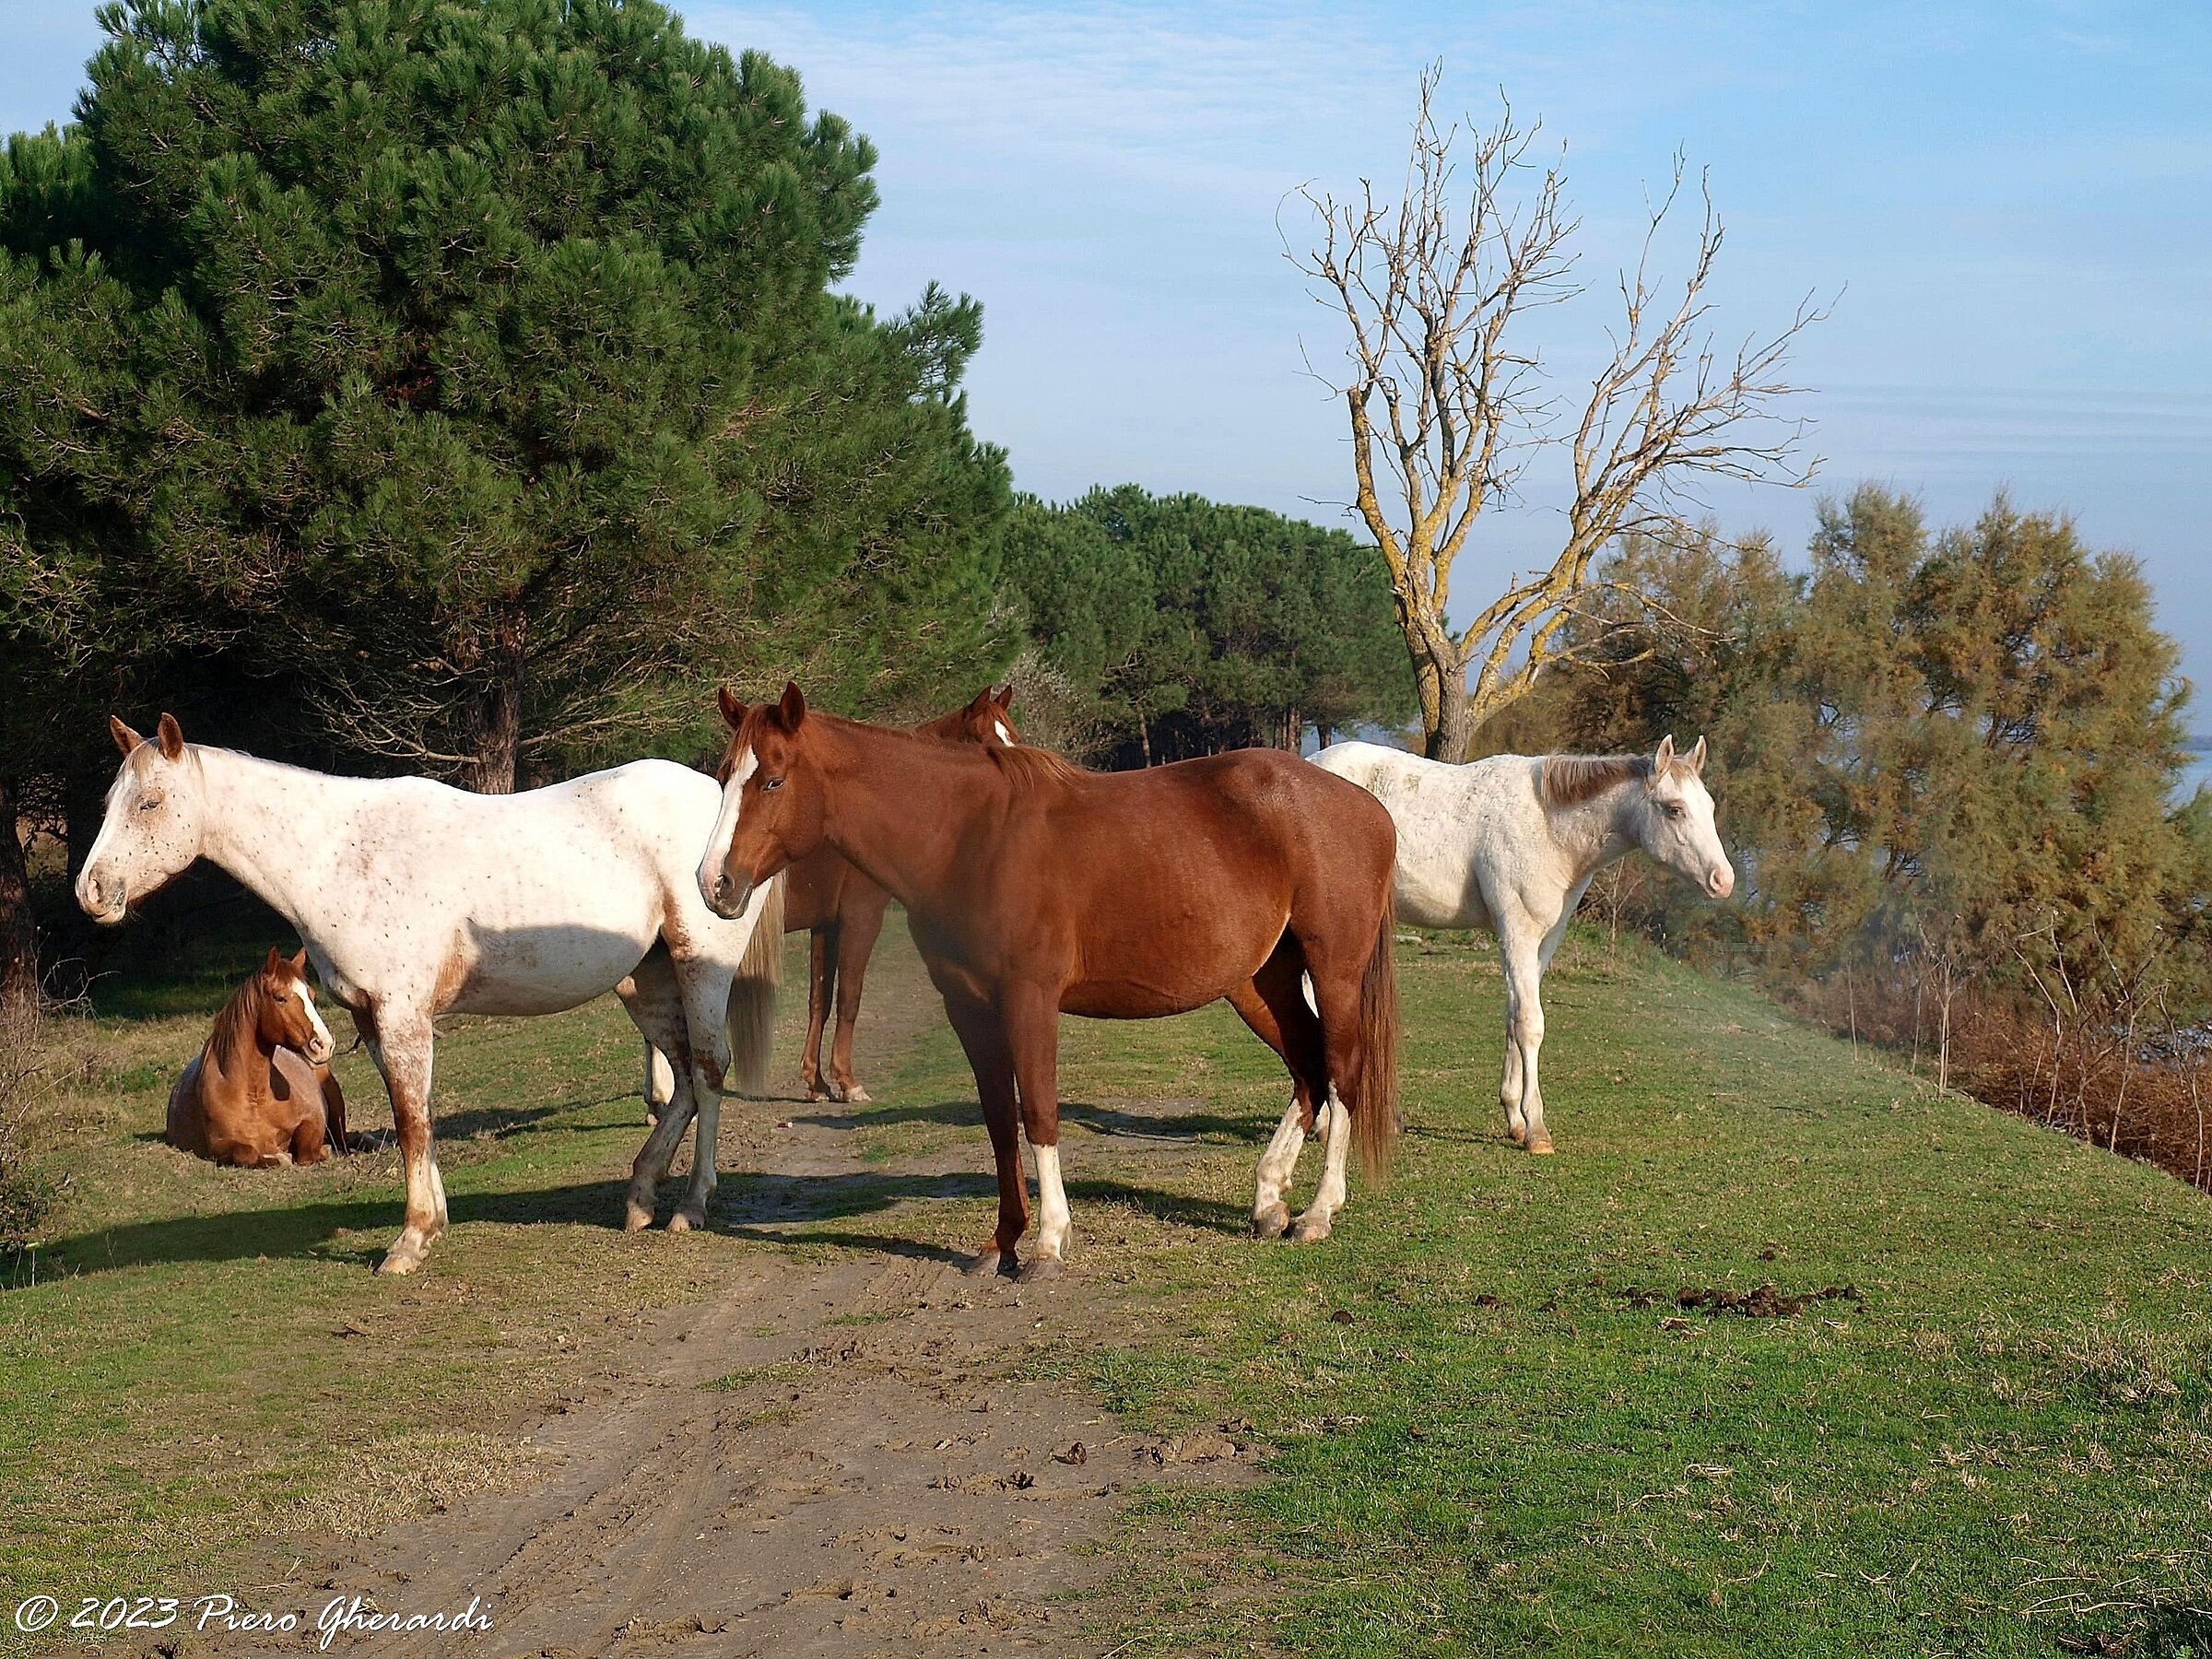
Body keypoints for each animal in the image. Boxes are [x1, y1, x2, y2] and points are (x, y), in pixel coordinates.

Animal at [168, 946, 349, 1168]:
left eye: (312, 996)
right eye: (280, 997)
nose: (324, 1044)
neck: (255, 1097)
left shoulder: (312, 1118)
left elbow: (307, 1151)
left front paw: (323, 1150)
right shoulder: (218, 1146)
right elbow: (246, 1153)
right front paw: (279, 1157)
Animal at [697, 683, 1401, 1280]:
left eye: (773, 779)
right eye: (723, 777)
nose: (715, 884)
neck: (967, 839)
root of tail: (1365, 806)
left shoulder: (1028, 1001)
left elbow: (1038, 1112)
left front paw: (1047, 1243)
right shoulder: (969, 1008)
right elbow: (998, 1120)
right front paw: (1000, 1242)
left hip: (1332, 972)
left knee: (1341, 1070)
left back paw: (1318, 1212)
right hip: (1260, 981)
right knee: (1307, 1066)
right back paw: (1268, 1200)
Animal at [1311, 735, 1734, 1154]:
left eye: (1710, 806)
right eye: (1674, 809)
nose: (1723, 880)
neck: (1549, 826)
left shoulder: (1545, 939)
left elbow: (1513, 1016)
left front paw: (1515, 1118)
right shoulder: (1517, 930)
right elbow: (1530, 1023)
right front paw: (1537, 1130)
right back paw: (1323, 1122)